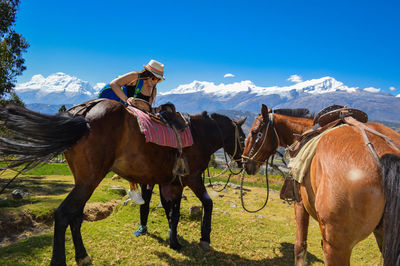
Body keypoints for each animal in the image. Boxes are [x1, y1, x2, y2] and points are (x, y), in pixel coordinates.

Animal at [0, 100, 247, 266]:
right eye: (243, 137)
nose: (244, 161)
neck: (199, 134)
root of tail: (84, 112)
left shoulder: (171, 183)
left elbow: (173, 213)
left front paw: (173, 241)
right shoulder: (192, 178)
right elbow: (206, 204)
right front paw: (202, 239)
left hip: (83, 181)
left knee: (76, 216)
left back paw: (83, 256)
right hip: (89, 180)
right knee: (63, 214)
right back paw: (61, 260)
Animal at [241, 104, 400, 266]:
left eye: (254, 132)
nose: (244, 162)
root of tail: (383, 152)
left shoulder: (300, 204)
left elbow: (300, 246)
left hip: (336, 245)